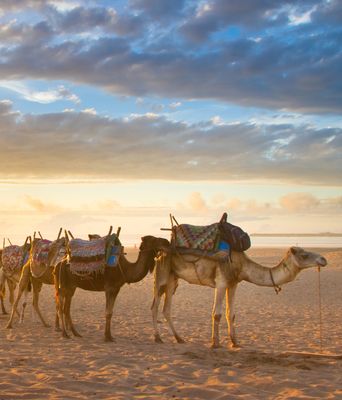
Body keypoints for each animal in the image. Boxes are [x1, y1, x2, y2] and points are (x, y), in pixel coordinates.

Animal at [151, 244, 328, 346]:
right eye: (304, 255)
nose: (323, 259)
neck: (242, 265)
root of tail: (160, 252)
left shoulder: (233, 283)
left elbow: (231, 313)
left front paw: (235, 342)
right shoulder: (221, 282)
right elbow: (217, 313)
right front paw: (215, 343)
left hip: (173, 278)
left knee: (166, 308)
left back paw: (179, 339)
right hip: (162, 273)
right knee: (155, 305)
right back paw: (158, 338)